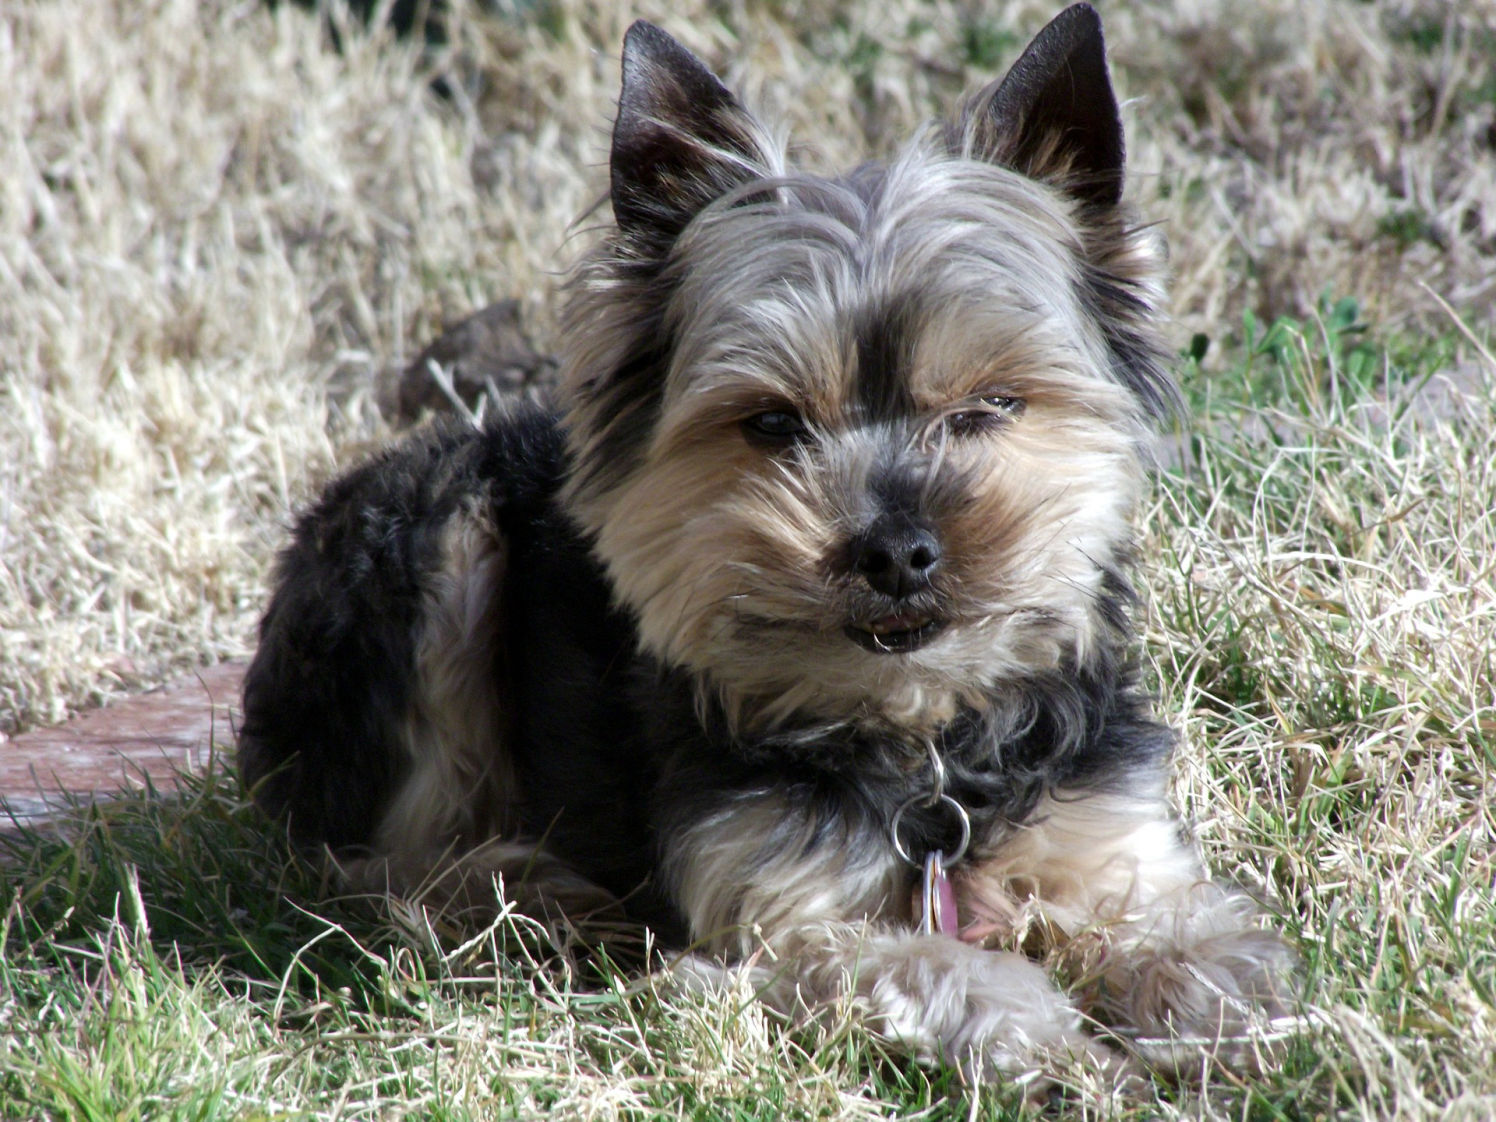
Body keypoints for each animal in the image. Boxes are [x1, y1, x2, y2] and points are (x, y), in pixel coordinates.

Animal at [239, 4, 1292, 1083]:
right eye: (774, 424)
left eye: (991, 406)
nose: (896, 551)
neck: (921, 742)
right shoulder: (771, 915)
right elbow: (919, 966)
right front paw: (1048, 1035)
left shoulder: (1108, 835)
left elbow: (1190, 933)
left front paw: (1224, 1006)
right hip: (435, 542)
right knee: (385, 862)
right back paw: (531, 897)